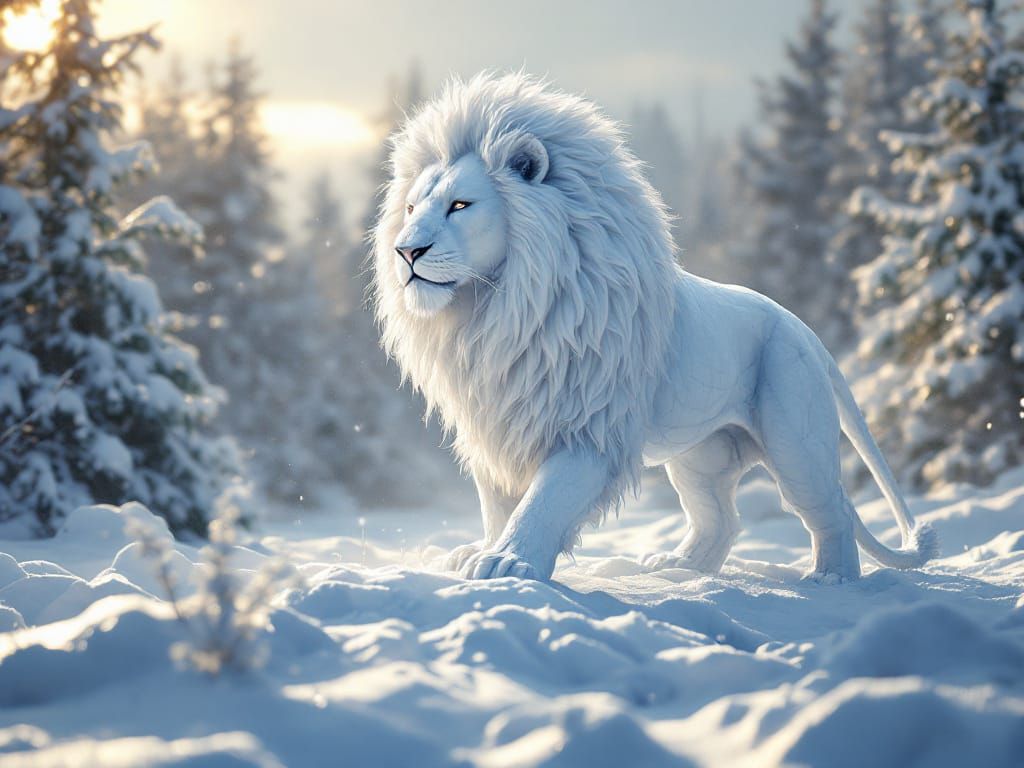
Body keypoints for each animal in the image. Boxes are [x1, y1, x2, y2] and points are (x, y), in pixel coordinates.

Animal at [371, 72, 938, 583]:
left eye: (460, 205)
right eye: (411, 207)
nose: (405, 251)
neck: (497, 310)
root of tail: (807, 331)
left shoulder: (589, 427)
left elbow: (546, 499)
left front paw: (508, 563)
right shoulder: (501, 422)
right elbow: (498, 503)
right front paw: (485, 550)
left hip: (794, 435)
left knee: (830, 510)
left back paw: (830, 580)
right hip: (700, 456)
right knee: (721, 520)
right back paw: (677, 569)